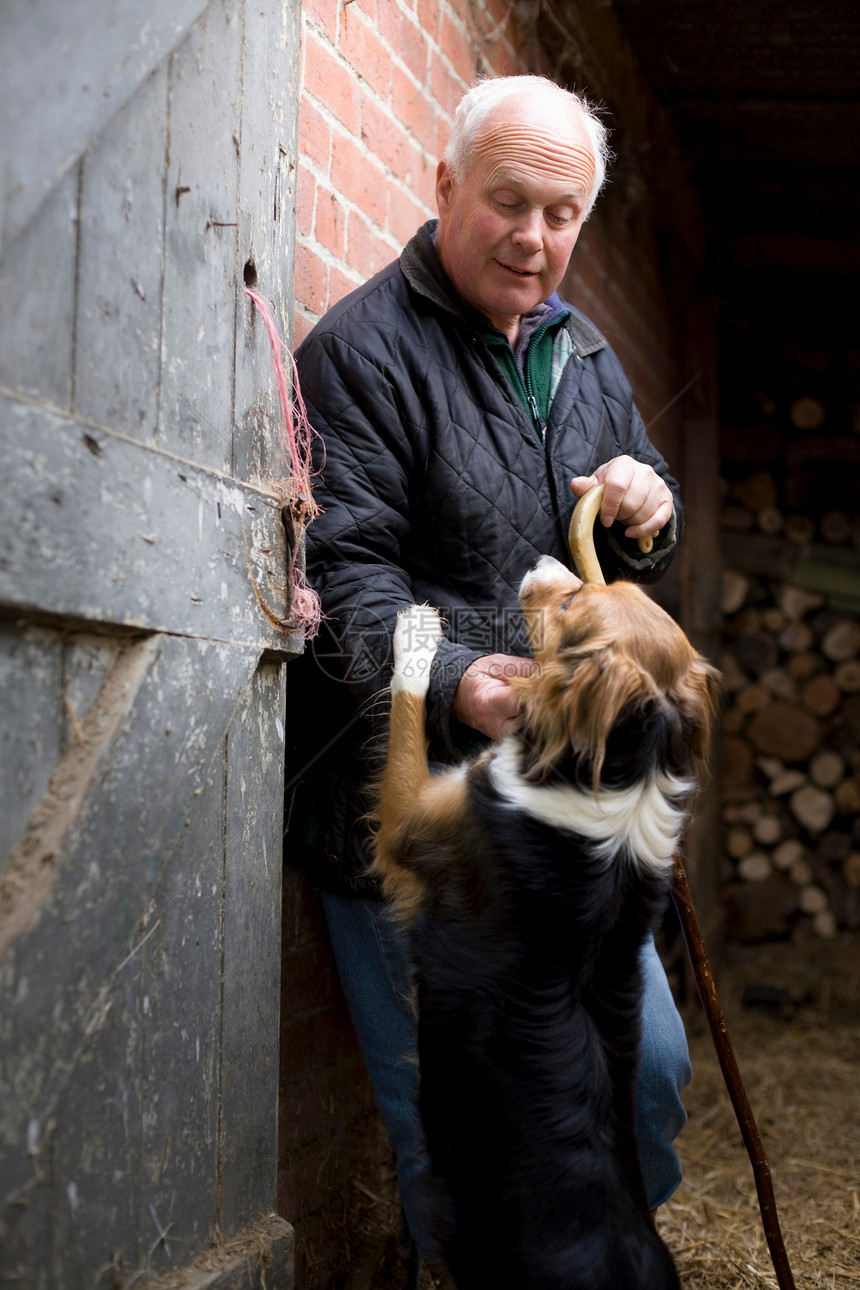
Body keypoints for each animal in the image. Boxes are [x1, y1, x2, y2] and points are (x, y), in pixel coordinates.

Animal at [373, 554, 722, 1290]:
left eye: (569, 610)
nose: (541, 560)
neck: (622, 774)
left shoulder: (408, 825)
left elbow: (408, 713)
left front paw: (417, 633)